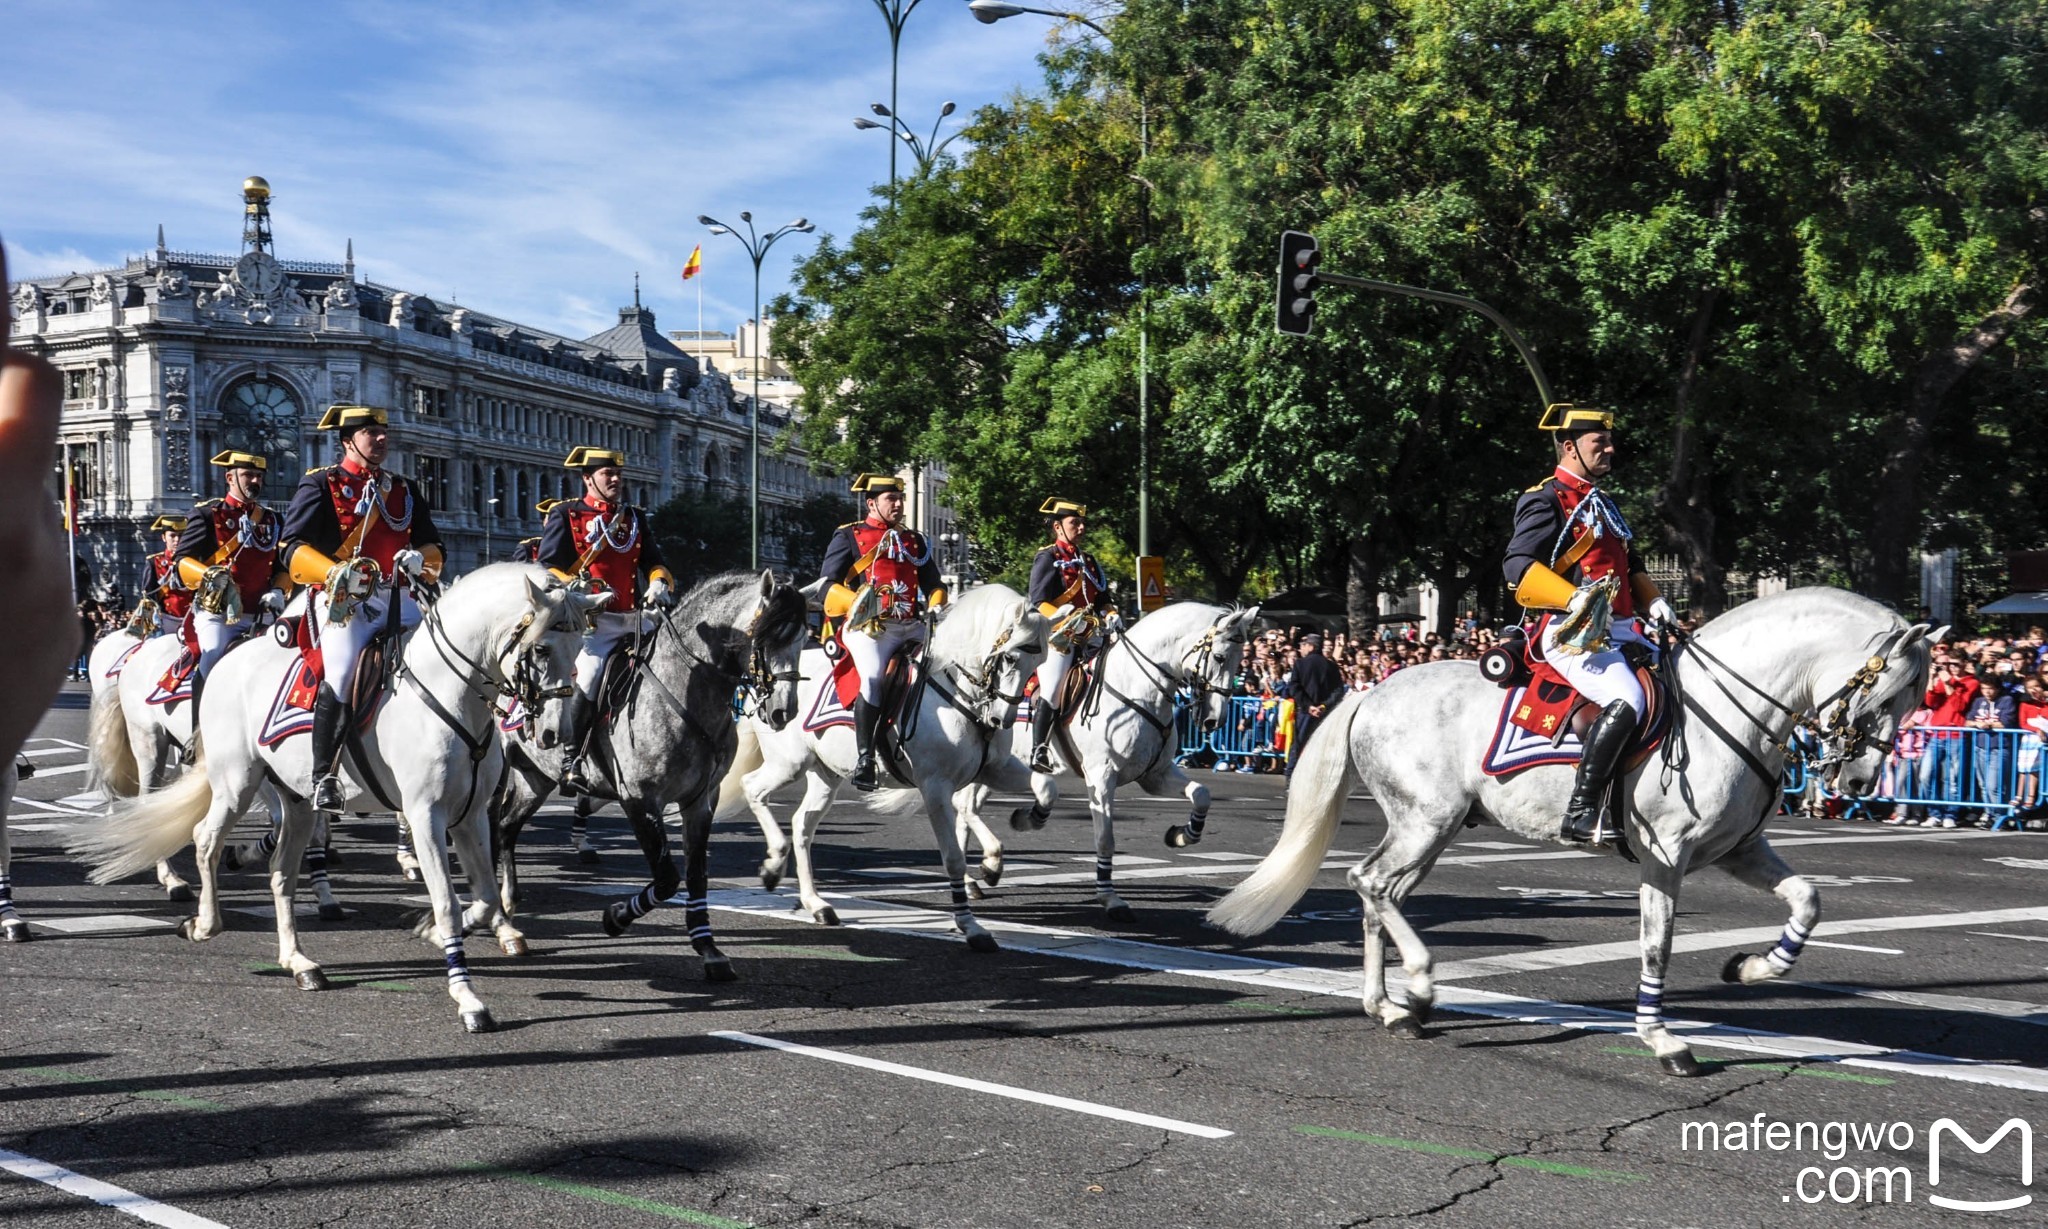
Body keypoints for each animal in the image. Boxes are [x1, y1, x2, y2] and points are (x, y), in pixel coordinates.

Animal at [72, 569, 598, 1032]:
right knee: (202, 837)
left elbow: (486, 899)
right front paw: (467, 998)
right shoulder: (425, 815)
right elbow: (449, 902)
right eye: (542, 647)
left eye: (580, 649)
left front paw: (432, 930)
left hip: (297, 799)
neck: (449, 695)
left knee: (281, 871)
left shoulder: (469, 818)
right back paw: (200, 919)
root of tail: (227, 661)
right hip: (221, 774)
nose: (553, 734)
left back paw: (297, 960)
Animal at [720, 585, 1048, 950]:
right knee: (752, 787)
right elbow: (952, 857)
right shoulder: (935, 786)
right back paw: (773, 865)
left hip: (824, 775)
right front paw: (971, 926)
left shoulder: (994, 770)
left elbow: (1045, 787)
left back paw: (816, 904)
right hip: (789, 763)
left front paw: (1023, 824)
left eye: (1040, 661)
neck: (958, 692)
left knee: (802, 824)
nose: (1002, 720)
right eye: (1010, 657)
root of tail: (764, 684)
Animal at [999, 598, 1253, 917]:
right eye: (1219, 657)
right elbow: (1106, 839)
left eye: (1240, 660)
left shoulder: (1156, 775)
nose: (1214, 721)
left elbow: (1201, 794)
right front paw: (1110, 898)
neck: (1135, 688)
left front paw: (1182, 834)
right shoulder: (1101, 777)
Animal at [1204, 585, 1941, 1073]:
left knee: (1377, 893)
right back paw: (1418, 985)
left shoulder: (1738, 849)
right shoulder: (1666, 855)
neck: (1728, 710)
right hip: (1426, 819)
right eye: (1886, 692)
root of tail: (1369, 689)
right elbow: (1656, 946)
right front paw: (1663, 1039)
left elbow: (1808, 899)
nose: (1860, 783)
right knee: (1373, 884)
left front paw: (1753, 966)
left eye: (1919, 697)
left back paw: (1388, 1006)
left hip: (1433, 827)